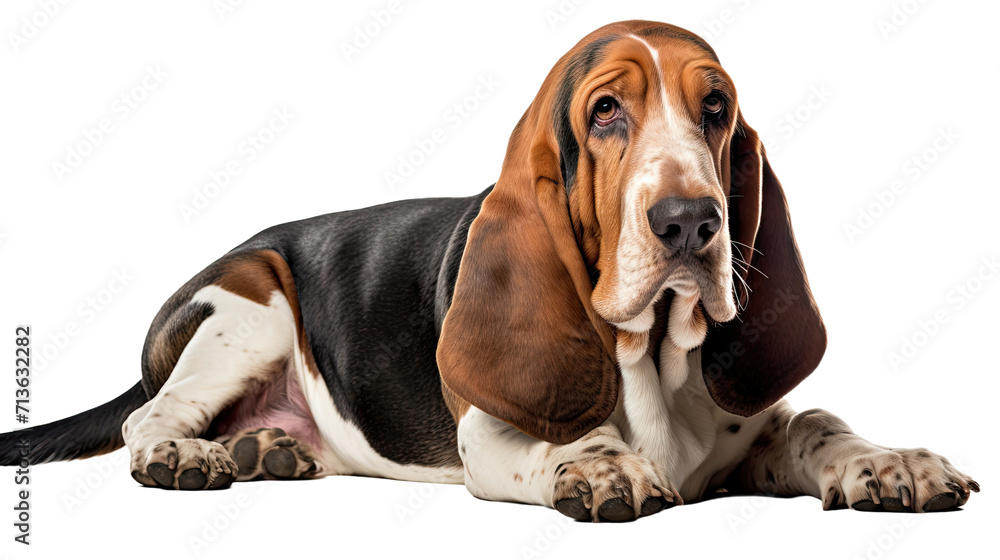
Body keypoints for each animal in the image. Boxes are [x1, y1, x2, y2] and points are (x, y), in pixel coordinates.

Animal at [3, 20, 980, 520]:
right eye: (606, 112)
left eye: (716, 108)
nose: (692, 222)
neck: (653, 359)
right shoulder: (489, 438)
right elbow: (570, 440)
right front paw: (602, 467)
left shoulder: (758, 435)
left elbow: (817, 422)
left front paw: (891, 463)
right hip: (251, 308)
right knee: (147, 417)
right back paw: (188, 454)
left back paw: (264, 449)